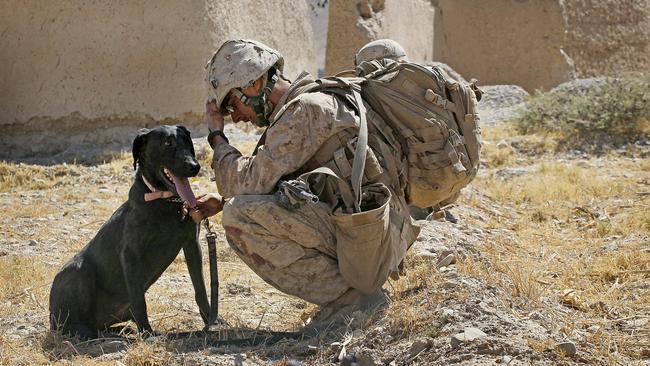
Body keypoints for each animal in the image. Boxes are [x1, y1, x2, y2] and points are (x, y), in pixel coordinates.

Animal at [49, 126, 209, 340]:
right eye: (168, 143)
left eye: (187, 141)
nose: (194, 166)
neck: (165, 201)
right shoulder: (131, 254)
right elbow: (138, 300)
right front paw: (147, 334)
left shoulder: (192, 245)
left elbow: (201, 289)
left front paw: (213, 321)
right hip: (77, 273)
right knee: (71, 324)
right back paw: (89, 333)